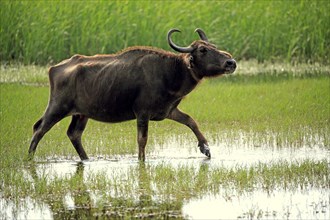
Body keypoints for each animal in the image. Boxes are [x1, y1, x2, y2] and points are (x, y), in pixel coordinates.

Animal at [27, 28, 235, 161]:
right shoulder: (142, 113)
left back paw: (86, 159)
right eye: (203, 50)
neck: (171, 72)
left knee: (73, 134)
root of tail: (54, 69)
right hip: (57, 108)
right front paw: (141, 161)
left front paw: (205, 148)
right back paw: (29, 158)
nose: (231, 62)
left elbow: (191, 121)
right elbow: (142, 140)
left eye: (213, 45)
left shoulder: (168, 111)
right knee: (39, 129)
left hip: (81, 114)